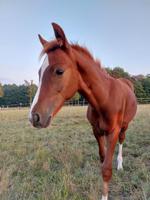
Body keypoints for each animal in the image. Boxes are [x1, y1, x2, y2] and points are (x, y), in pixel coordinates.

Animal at [29, 23, 137, 198]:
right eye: (39, 72)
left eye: (59, 71)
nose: (34, 117)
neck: (104, 98)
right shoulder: (96, 131)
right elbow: (102, 158)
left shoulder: (113, 131)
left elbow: (106, 169)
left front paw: (104, 196)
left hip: (124, 125)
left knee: (122, 140)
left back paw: (120, 164)